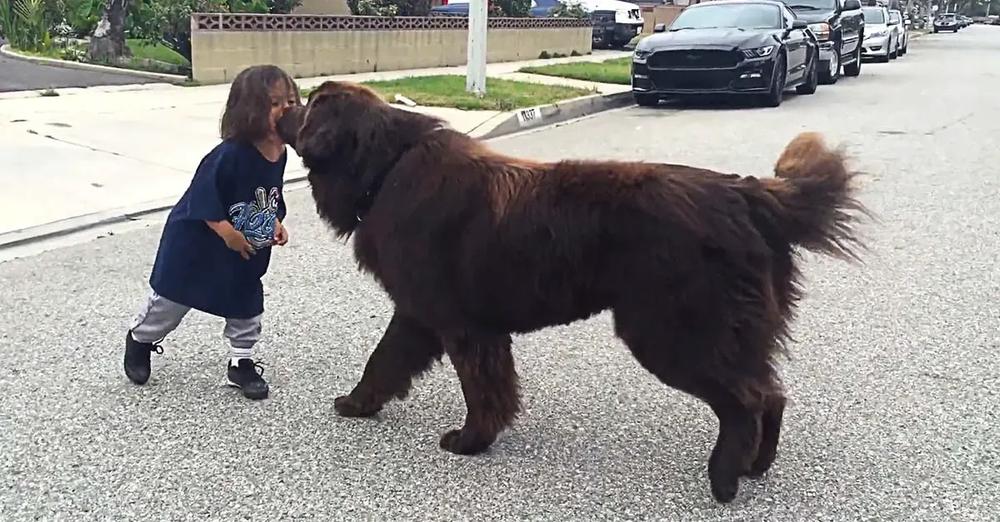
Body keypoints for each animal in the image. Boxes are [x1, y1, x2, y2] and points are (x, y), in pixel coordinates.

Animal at [276, 80, 868, 500]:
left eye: (308, 105)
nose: (281, 107)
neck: (387, 166)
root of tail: (748, 194)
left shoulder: (461, 323)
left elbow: (480, 389)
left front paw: (471, 442)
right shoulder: (422, 313)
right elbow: (384, 362)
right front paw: (359, 404)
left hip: (674, 332)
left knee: (745, 399)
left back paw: (723, 479)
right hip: (726, 331)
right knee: (770, 392)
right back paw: (755, 467)